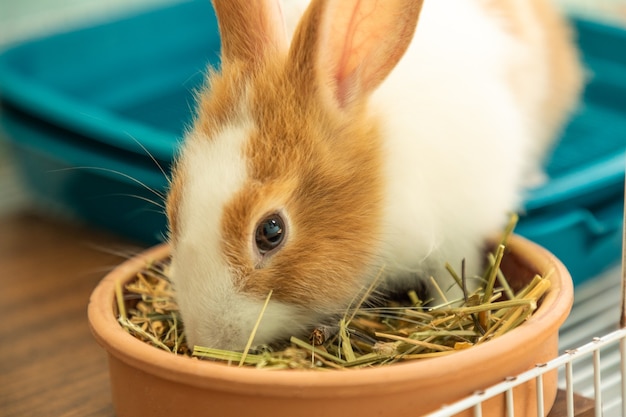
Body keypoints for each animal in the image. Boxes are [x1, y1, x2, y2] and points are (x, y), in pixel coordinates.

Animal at [165, 0, 580, 352]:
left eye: (271, 231)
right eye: (173, 207)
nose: (206, 341)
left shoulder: (457, 234)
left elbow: (451, 281)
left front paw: (446, 310)